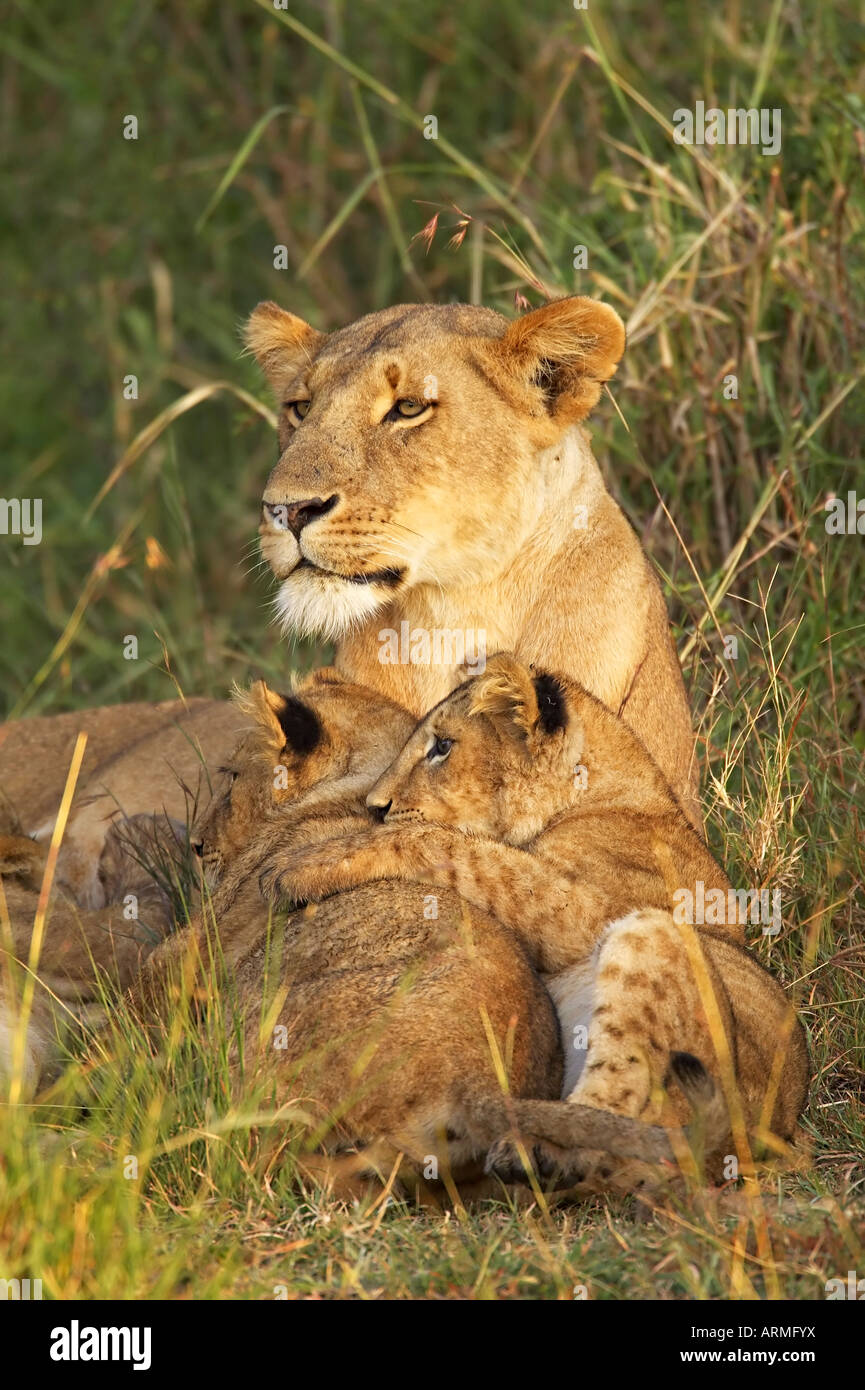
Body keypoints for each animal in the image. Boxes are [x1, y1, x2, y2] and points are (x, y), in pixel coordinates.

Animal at [265, 654, 809, 1188]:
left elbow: (458, 848)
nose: (374, 808)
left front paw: (305, 865)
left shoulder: (583, 912)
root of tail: (752, 1146)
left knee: (618, 1116)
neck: (602, 791)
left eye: (442, 746)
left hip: (656, 937)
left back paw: (534, 1155)